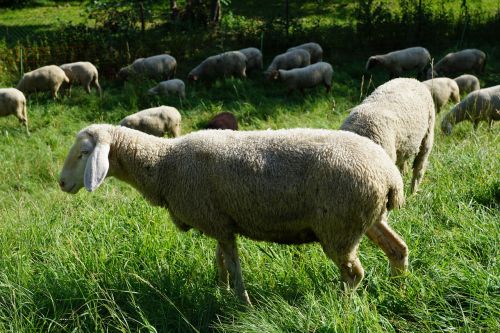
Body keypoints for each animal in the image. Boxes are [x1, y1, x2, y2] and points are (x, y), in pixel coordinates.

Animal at [60, 124, 408, 304]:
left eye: (83, 153)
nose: (62, 183)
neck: (163, 164)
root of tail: (390, 176)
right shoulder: (219, 220)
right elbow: (221, 262)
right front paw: (222, 291)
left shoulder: (220, 224)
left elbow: (234, 265)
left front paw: (242, 303)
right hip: (368, 218)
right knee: (398, 249)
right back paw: (396, 289)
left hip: (338, 226)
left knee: (353, 273)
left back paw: (341, 305)